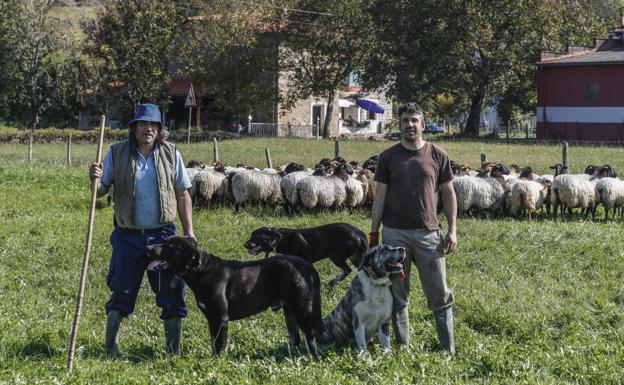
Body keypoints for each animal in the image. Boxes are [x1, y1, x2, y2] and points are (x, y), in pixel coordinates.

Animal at [146, 236, 322, 358]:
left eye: (171, 246)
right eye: (164, 241)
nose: (148, 247)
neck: (200, 271)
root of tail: (306, 266)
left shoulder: (220, 319)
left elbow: (219, 346)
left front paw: (218, 363)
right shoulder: (212, 319)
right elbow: (213, 344)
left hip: (303, 310)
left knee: (311, 338)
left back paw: (314, 360)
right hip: (290, 312)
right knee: (296, 339)